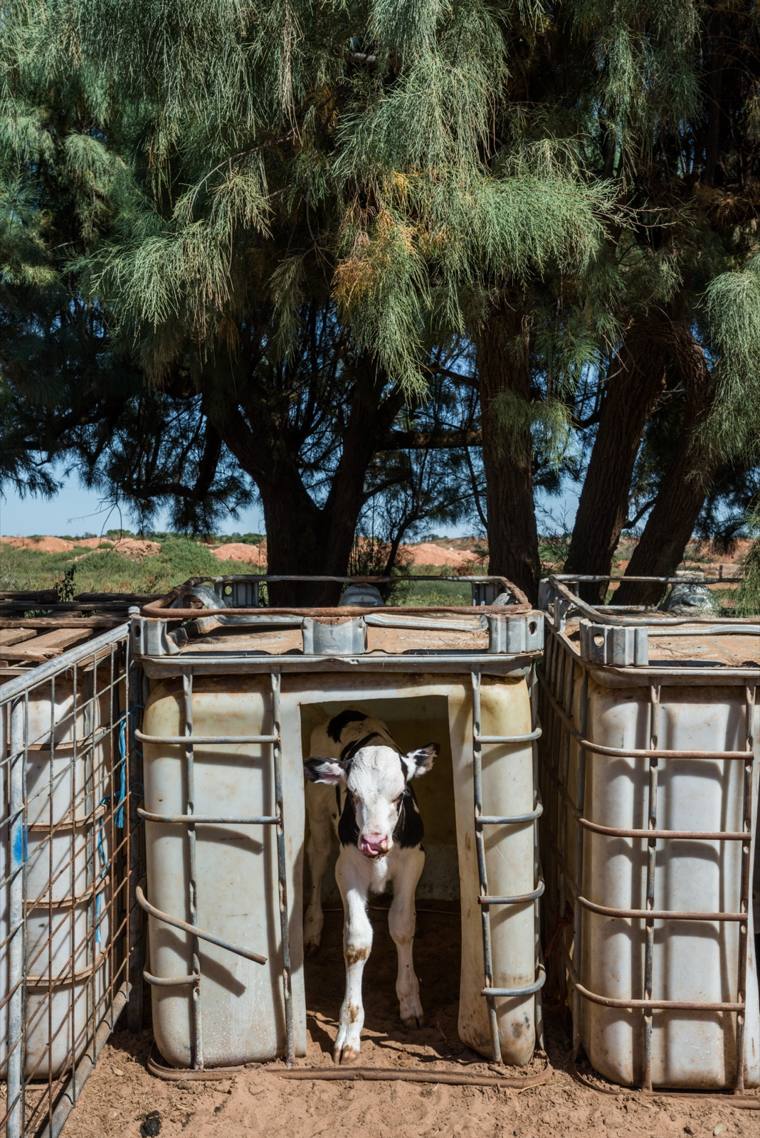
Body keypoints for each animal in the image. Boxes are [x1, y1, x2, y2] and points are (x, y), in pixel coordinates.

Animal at [303, 709, 438, 1064]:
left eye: (400, 795)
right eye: (353, 794)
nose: (373, 842)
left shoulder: (413, 861)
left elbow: (402, 927)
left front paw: (410, 1002)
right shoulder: (347, 868)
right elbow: (357, 942)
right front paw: (348, 1034)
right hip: (318, 816)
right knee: (317, 859)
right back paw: (311, 930)